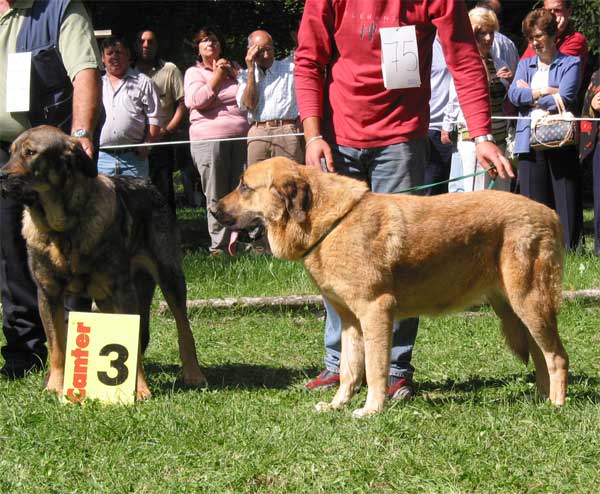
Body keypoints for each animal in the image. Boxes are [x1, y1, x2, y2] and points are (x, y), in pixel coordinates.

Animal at [0, 125, 206, 400]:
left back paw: (194, 374)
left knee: (184, 327)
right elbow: (56, 346)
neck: (63, 228)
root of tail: (150, 184)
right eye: (11, 152)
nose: (1, 176)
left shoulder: (122, 290)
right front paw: (56, 385)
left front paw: (139, 389)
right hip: (107, 298)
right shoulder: (48, 293)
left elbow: (132, 343)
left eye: (31, 153)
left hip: (168, 275)